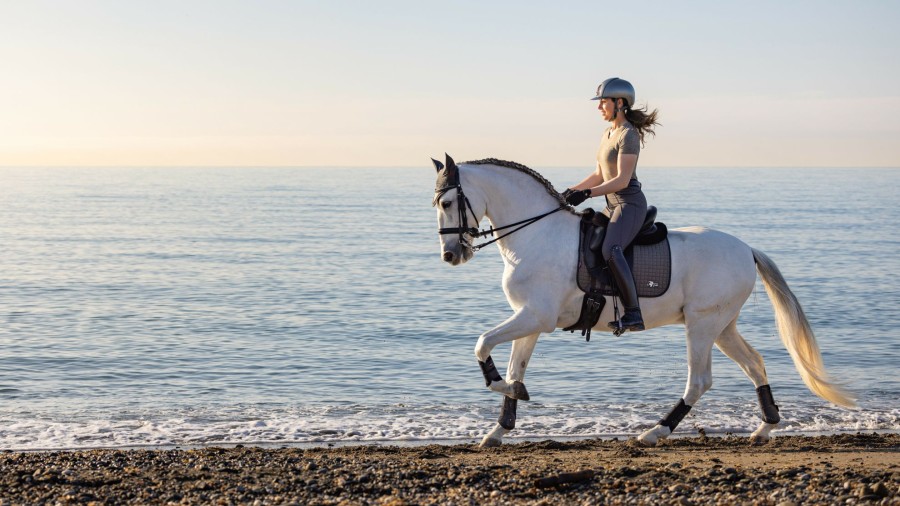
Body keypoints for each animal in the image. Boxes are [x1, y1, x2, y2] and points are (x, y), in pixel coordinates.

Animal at [432, 154, 856, 446]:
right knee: (755, 364)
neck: (535, 234)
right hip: (722, 326)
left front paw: (502, 392)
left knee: (699, 380)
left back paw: (655, 431)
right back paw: (764, 428)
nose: (451, 255)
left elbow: (482, 344)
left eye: (448, 203)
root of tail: (746, 249)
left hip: (702, 325)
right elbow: (515, 369)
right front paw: (499, 427)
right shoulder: (529, 319)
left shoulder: (536, 316)